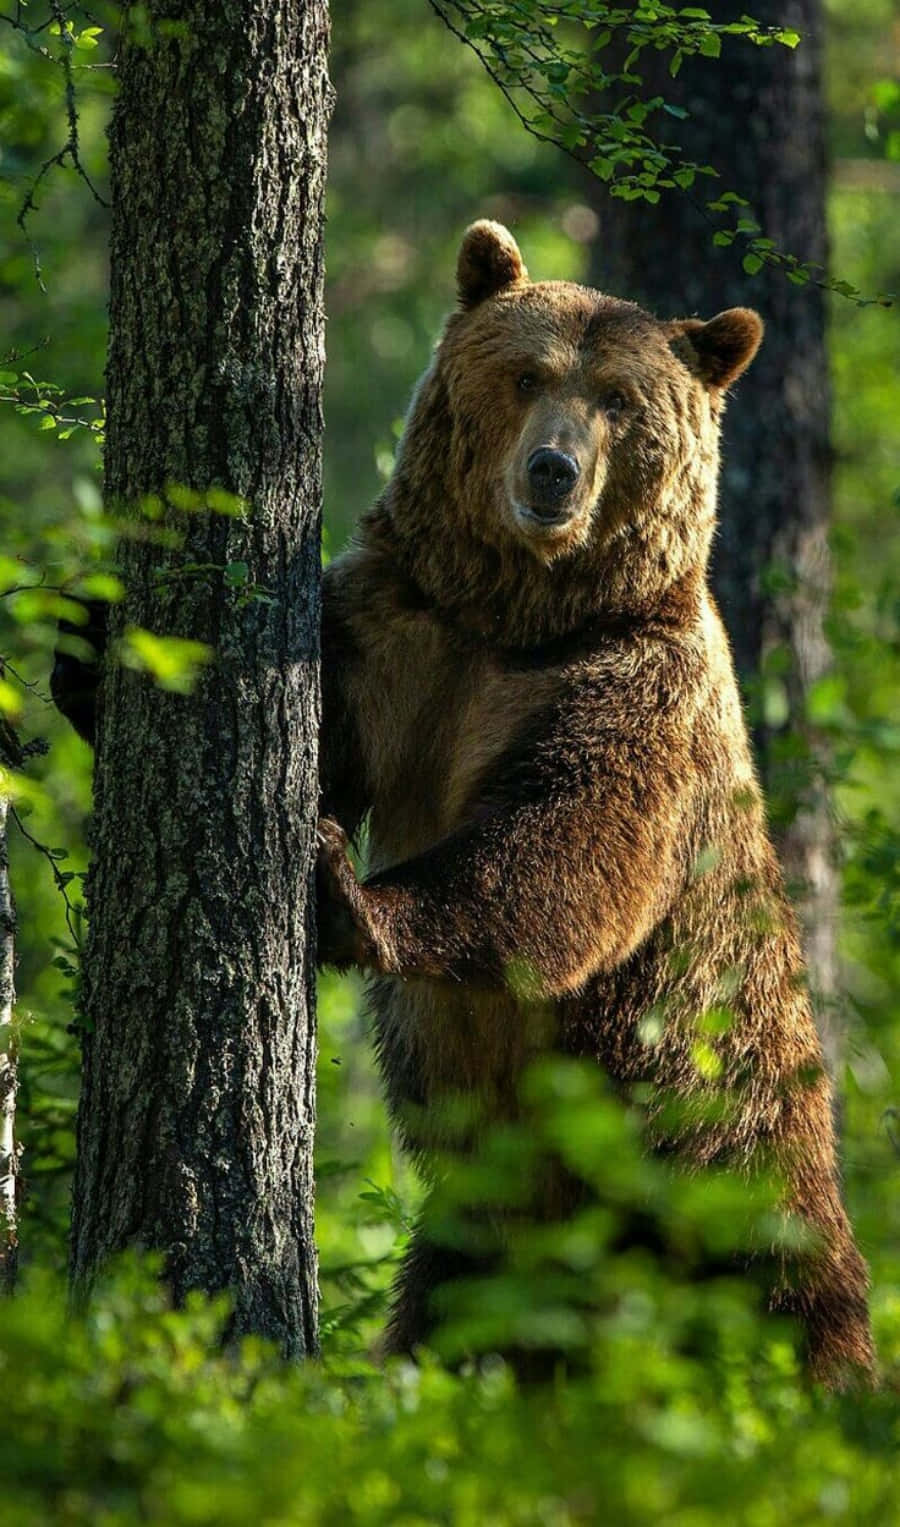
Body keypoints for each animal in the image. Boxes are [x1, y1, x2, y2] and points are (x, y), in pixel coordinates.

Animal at [316, 220, 874, 1386]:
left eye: (620, 400)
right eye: (528, 373)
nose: (552, 469)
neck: (523, 615)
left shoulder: (635, 689)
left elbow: (568, 849)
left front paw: (350, 892)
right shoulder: (406, 629)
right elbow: (328, 711)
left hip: (722, 1161)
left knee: (788, 1321)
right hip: (489, 1234)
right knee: (446, 1316)